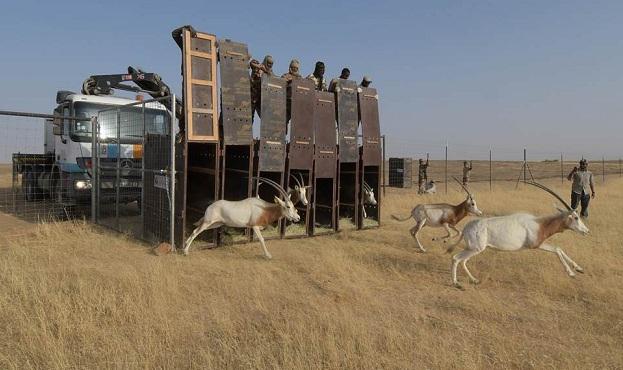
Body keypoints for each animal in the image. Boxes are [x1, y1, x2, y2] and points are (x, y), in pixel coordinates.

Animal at [448, 181, 588, 290]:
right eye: (575, 217)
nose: (586, 231)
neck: (540, 224)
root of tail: (466, 228)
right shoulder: (536, 245)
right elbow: (556, 250)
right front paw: (571, 273)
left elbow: (558, 248)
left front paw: (579, 269)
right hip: (476, 249)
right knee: (456, 258)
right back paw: (456, 284)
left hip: (472, 249)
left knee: (462, 260)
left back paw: (474, 280)